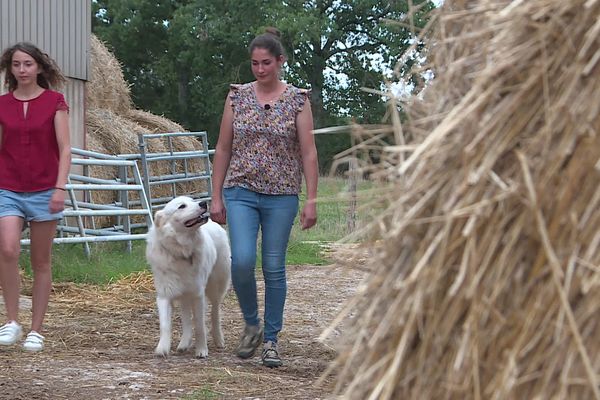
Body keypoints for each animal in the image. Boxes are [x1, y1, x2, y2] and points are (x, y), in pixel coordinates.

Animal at [144, 195, 231, 358]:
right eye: (182, 206)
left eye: (192, 200)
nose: (203, 203)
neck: (180, 251)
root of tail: (214, 223)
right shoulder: (164, 295)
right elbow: (165, 325)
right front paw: (162, 348)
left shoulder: (198, 294)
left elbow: (199, 325)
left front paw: (202, 350)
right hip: (185, 293)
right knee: (186, 317)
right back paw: (184, 343)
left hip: (216, 286)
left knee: (215, 312)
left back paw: (219, 339)